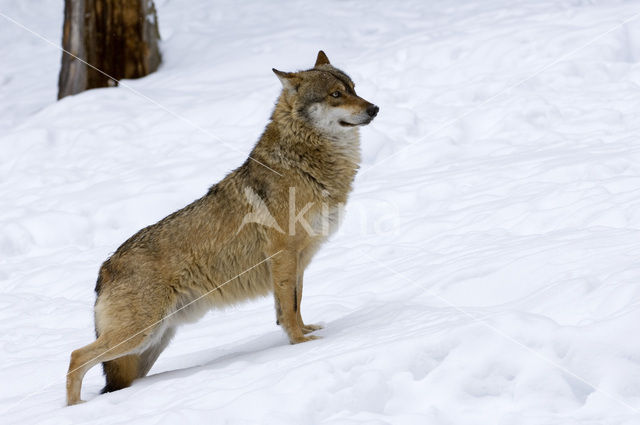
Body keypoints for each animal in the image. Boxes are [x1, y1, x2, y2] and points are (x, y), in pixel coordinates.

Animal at [66, 50, 376, 404]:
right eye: (335, 95)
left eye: (353, 88)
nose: (374, 108)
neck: (303, 164)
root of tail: (104, 269)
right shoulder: (284, 256)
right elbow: (288, 308)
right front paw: (300, 343)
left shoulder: (298, 260)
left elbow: (294, 306)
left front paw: (305, 332)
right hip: (137, 335)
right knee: (76, 357)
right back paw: (75, 407)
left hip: (149, 344)